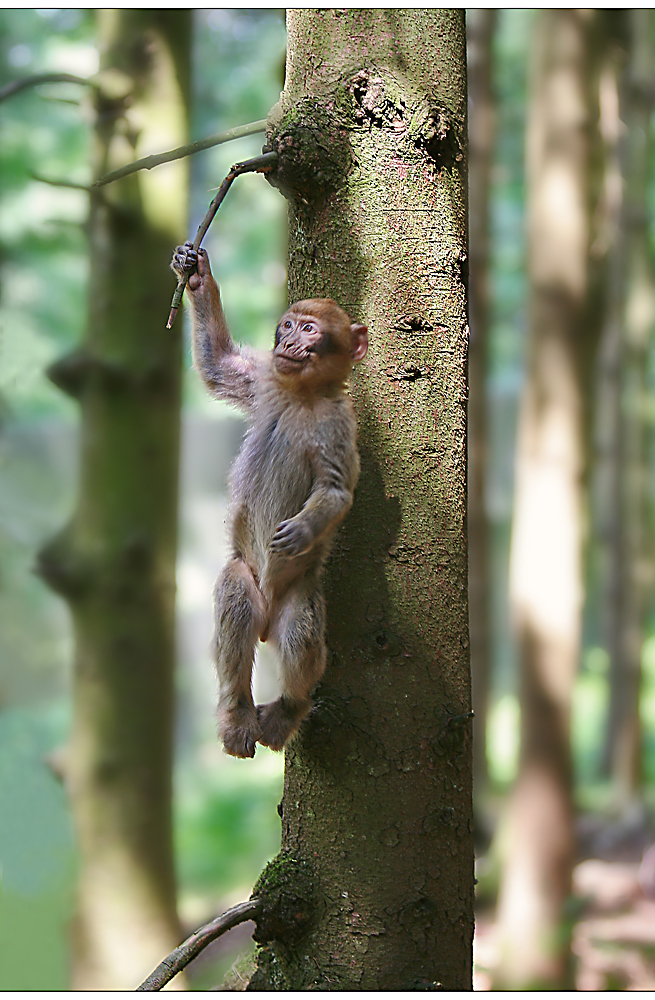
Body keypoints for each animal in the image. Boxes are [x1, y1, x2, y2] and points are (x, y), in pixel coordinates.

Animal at [170, 242, 368, 756]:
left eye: (311, 329)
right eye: (288, 324)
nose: (288, 342)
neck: (301, 393)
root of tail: (267, 621)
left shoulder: (339, 424)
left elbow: (336, 489)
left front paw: (301, 529)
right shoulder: (263, 377)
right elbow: (219, 366)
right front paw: (196, 274)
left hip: (298, 594)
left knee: (301, 636)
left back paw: (289, 708)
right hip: (248, 581)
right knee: (236, 600)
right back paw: (236, 710)